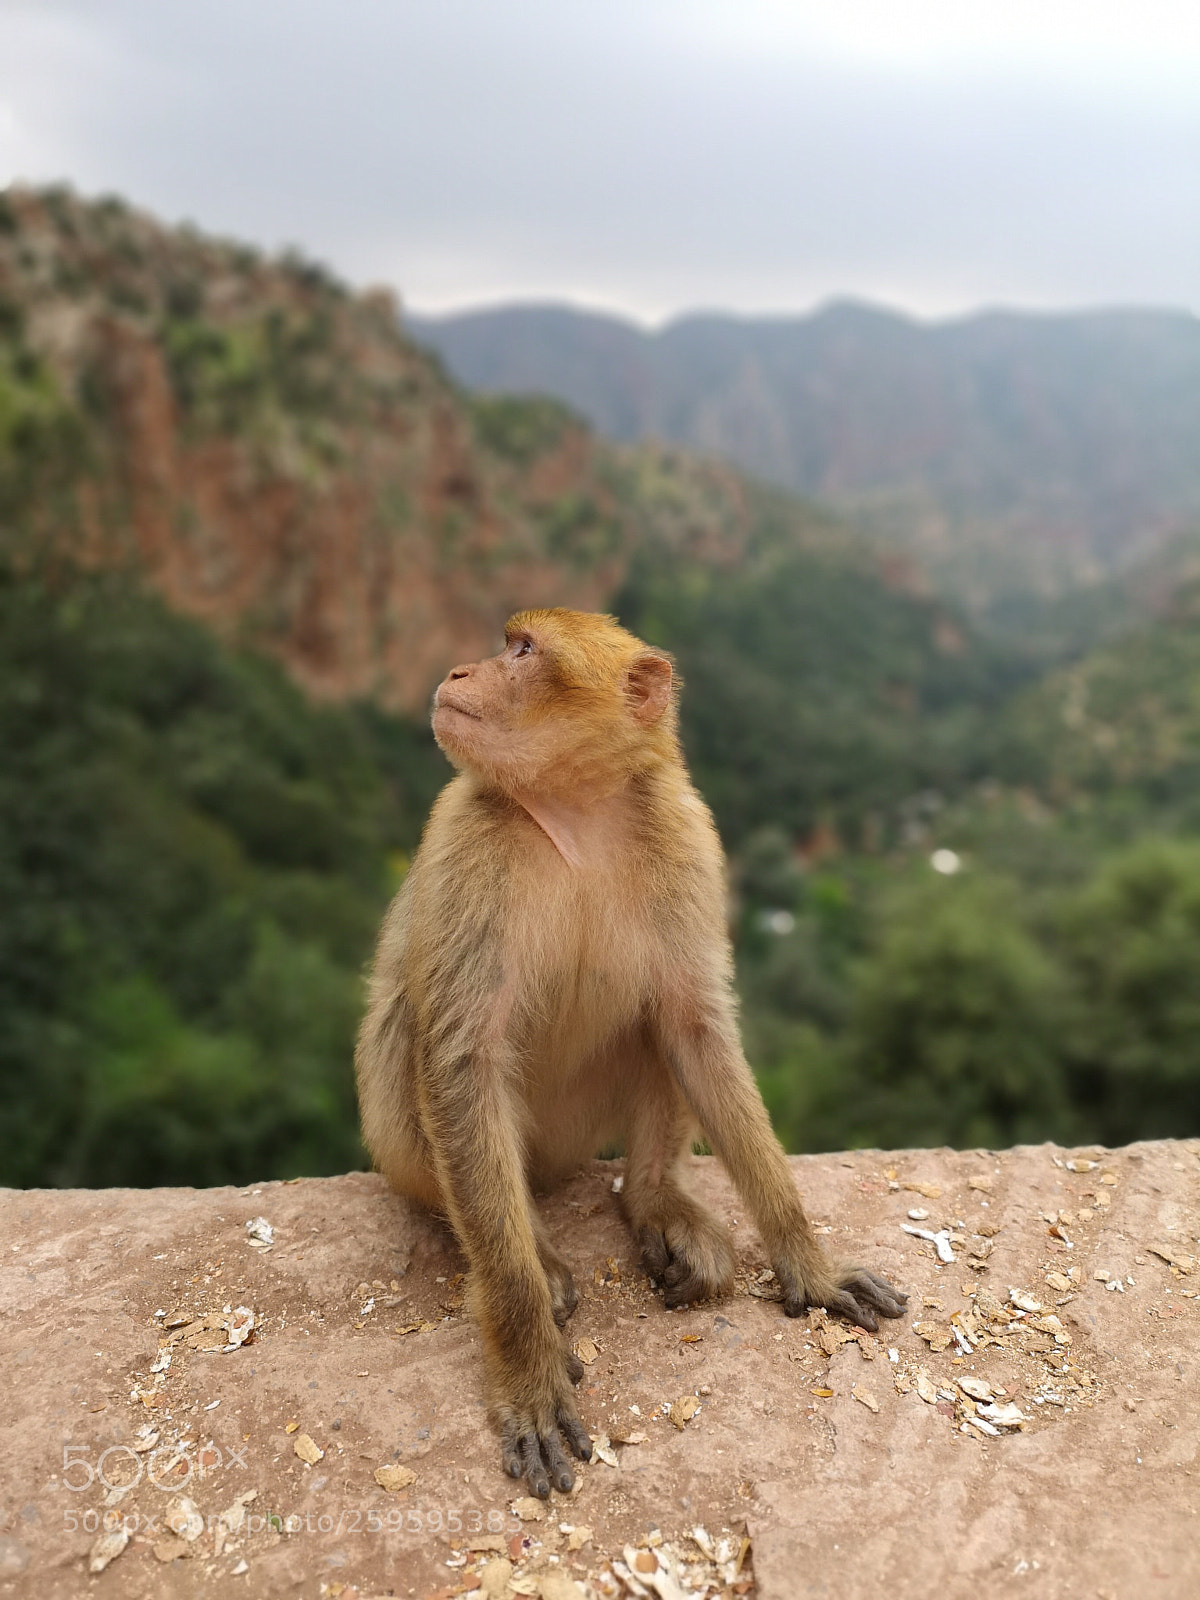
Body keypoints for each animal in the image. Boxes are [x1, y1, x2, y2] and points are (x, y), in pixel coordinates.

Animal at [356, 608, 906, 1498]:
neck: (576, 816)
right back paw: (531, 1250)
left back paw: (654, 1201)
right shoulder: (464, 838)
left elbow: (693, 1029)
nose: (458, 672)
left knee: (655, 1024)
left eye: (521, 650)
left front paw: (808, 1262)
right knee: (417, 1043)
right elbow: (465, 1061)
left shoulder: (685, 835)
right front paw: (527, 1362)